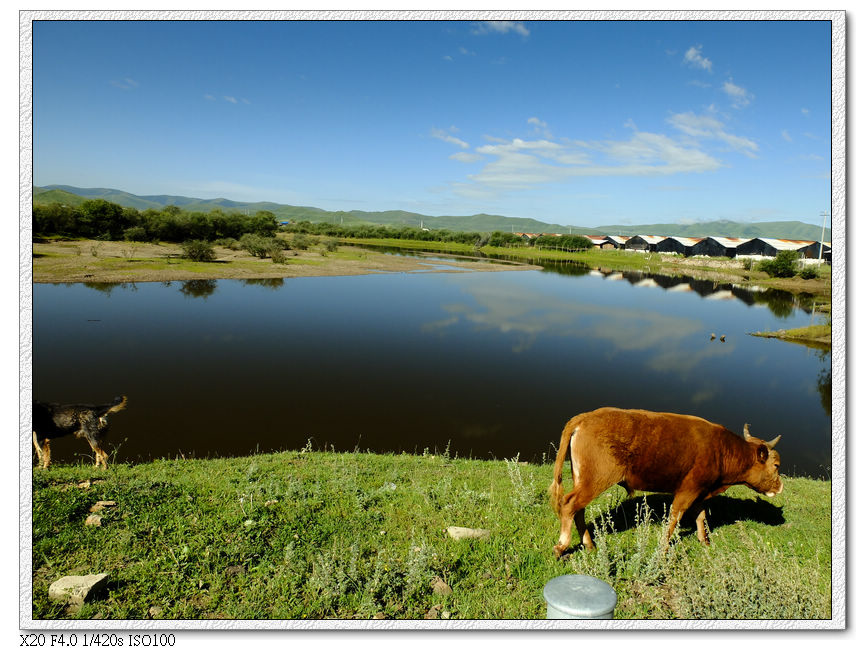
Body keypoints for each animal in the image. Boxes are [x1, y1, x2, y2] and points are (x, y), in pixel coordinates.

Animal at [548, 408, 784, 556]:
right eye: (776, 465)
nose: (780, 486)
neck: (721, 449)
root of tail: (584, 417)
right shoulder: (688, 489)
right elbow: (674, 517)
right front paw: (663, 548)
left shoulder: (701, 490)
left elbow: (700, 516)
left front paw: (704, 541)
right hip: (596, 478)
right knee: (569, 505)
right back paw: (561, 547)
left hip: (583, 478)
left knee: (578, 509)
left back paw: (589, 545)